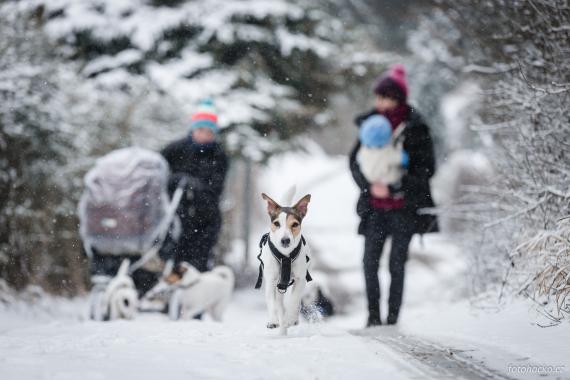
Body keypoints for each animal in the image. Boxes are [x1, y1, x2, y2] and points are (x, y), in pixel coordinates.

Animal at [256, 191, 312, 334]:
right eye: (276, 224)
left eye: (295, 224)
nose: (285, 240)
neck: (285, 256)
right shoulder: (271, 280)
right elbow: (271, 301)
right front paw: (273, 321)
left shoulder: (300, 279)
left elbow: (294, 299)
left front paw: (291, 318)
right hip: (279, 286)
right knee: (279, 304)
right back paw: (282, 327)